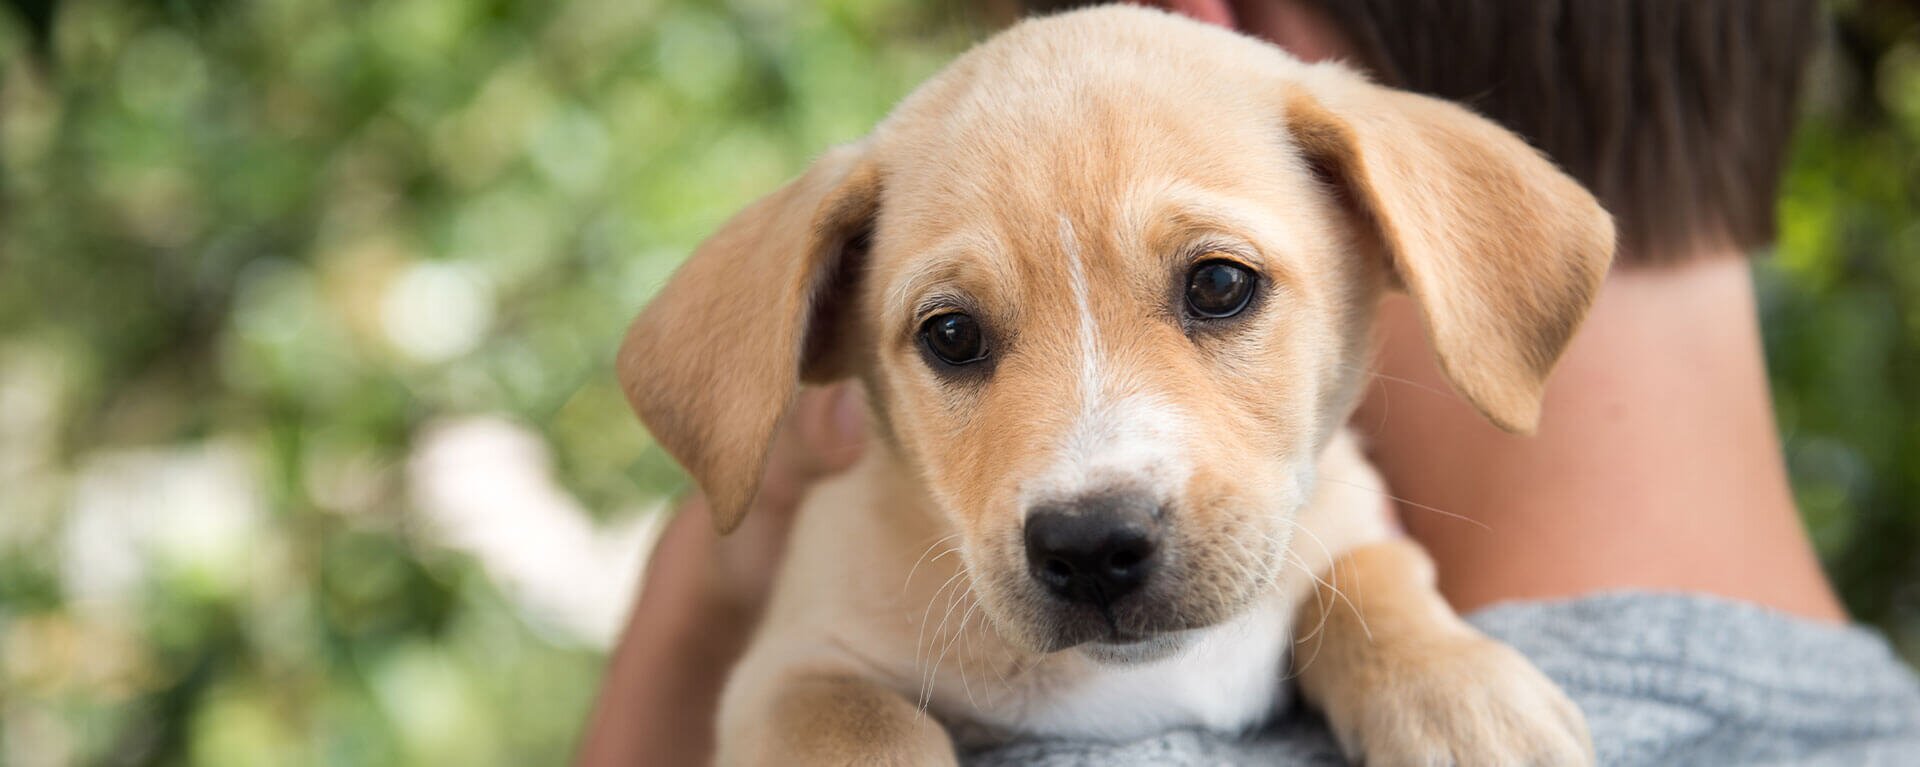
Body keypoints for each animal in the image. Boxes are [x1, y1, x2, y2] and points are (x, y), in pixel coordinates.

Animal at [614, 7, 1605, 767]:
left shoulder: (1348, 504)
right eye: (951, 335)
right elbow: (857, 725)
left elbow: (1368, 572)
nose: (1091, 545)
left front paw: (1463, 696)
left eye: (1219, 284)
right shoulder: (793, 662)